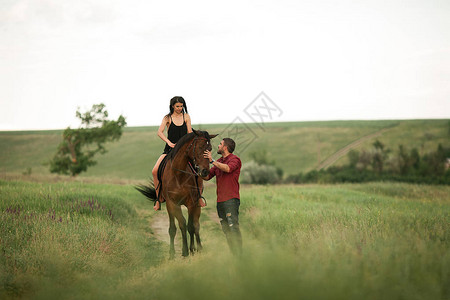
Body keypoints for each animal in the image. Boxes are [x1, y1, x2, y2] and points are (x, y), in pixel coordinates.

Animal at [135, 129, 216, 258]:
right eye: (199, 147)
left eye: (210, 149)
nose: (205, 171)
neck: (179, 175)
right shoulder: (172, 203)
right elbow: (179, 225)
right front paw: (179, 252)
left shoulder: (191, 203)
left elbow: (190, 226)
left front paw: (190, 249)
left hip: (196, 205)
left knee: (196, 225)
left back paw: (198, 248)